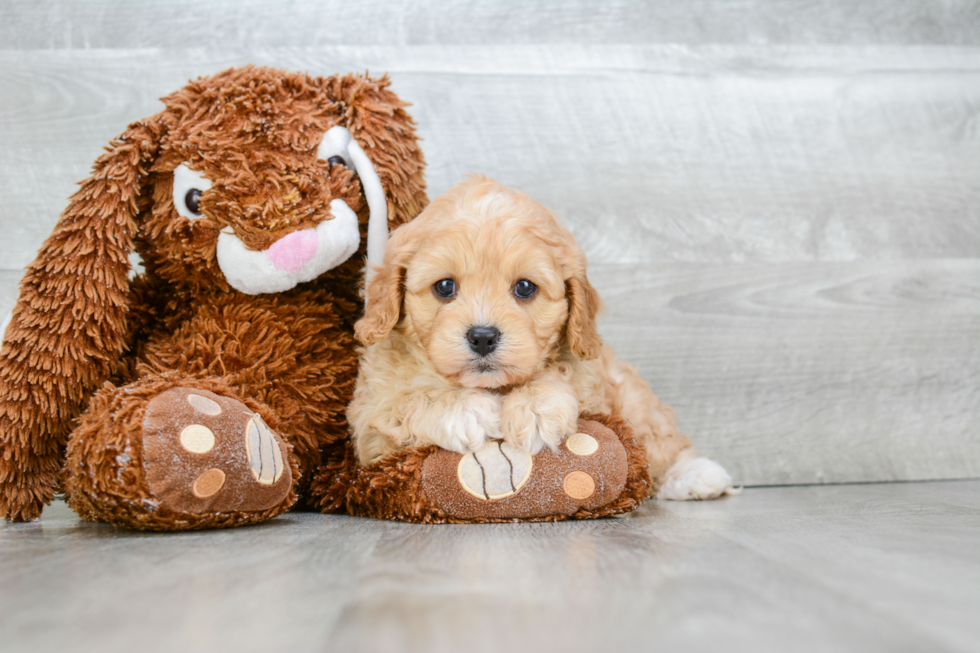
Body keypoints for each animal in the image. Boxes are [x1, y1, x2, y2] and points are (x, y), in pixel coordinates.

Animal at [348, 177, 732, 500]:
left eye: (524, 287)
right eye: (444, 286)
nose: (483, 337)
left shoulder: (592, 384)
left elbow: (561, 373)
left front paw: (535, 408)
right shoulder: (369, 424)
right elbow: (406, 401)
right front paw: (462, 408)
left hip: (632, 398)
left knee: (658, 438)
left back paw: (697, 474)